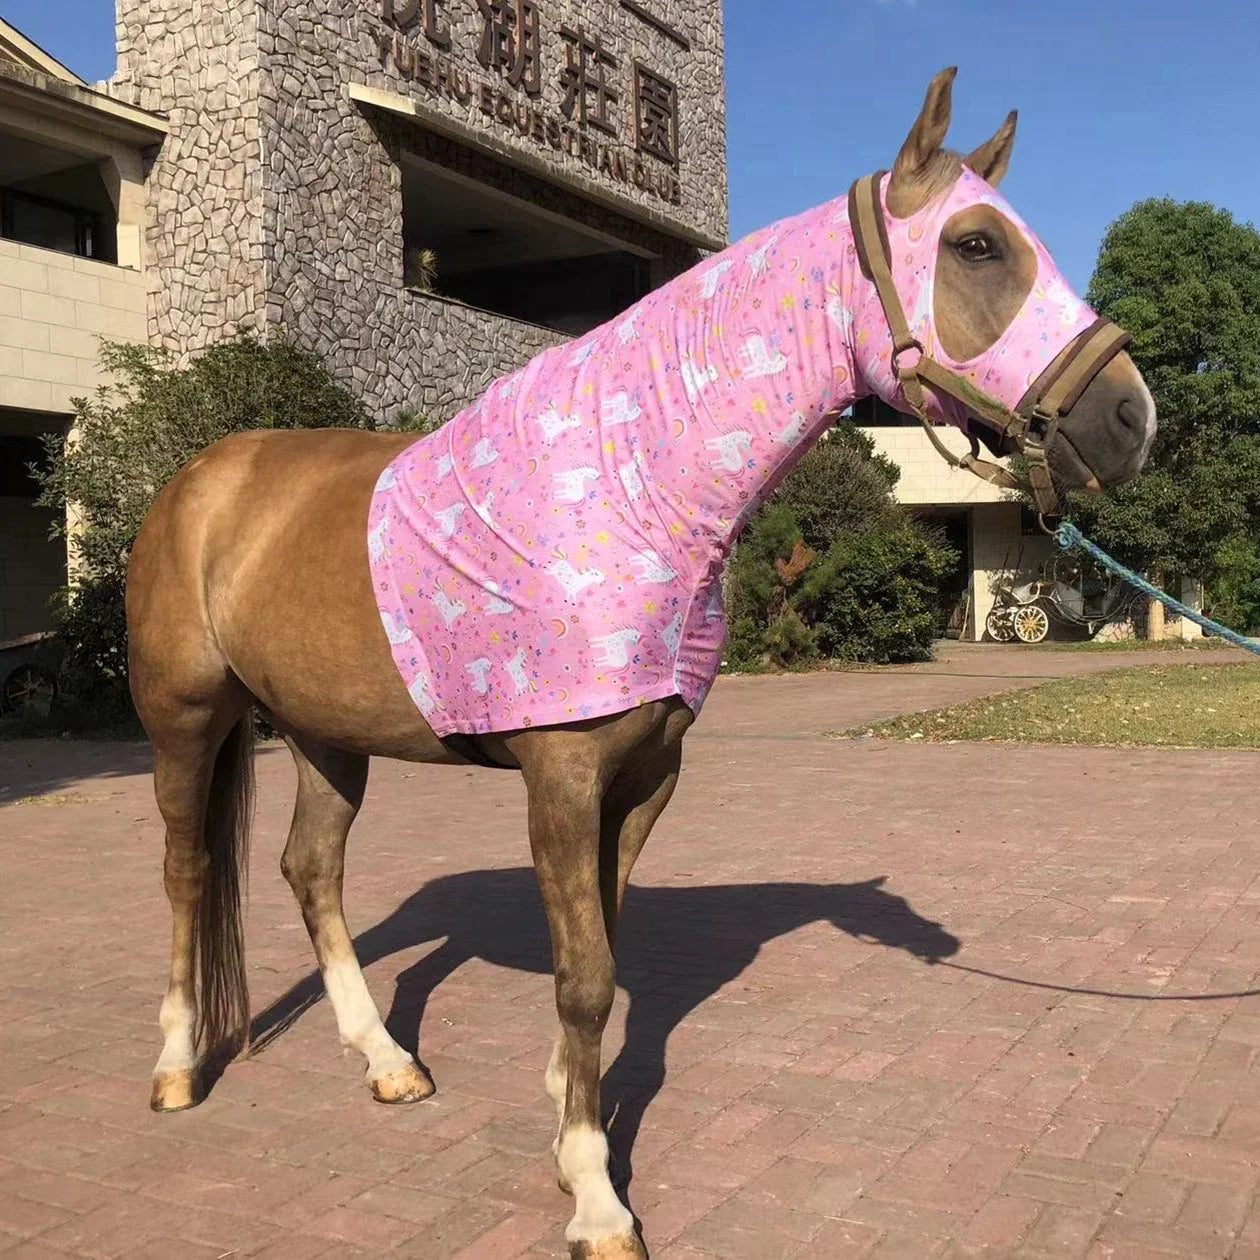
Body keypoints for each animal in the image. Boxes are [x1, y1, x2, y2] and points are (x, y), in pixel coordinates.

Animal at [125, 68, 1156, 1259]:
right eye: (977, 245)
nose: (1131, 419)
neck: (630, 489)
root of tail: (198, 480)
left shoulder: (646, 778)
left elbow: (604, 963)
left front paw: (568, 1121)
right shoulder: (563, 780)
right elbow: (584, 978)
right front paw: (596, 1197)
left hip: (326, 736)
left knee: (310, 873)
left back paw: (387, 1064)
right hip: (186, 718)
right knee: (187, 873)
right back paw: (175, 1070)